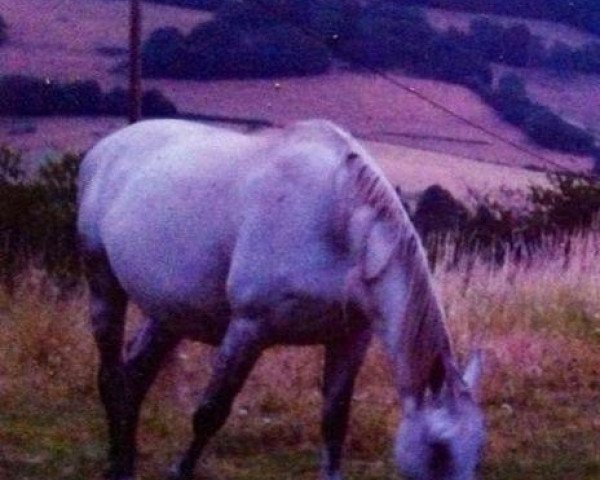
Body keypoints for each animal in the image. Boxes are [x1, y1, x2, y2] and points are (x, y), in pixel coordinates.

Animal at [77, 117, 486, 480]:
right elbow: (210, 413)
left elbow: (334, 422)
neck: (339, 224)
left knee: (135, 378)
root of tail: (103, 149)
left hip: (170, 315)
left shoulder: (350, 339)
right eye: (439, 448)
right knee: (111, 378)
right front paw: (179, 471)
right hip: (104, 285)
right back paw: (116, 465)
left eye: (478, 449)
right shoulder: (248, 328)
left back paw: (126, 462)